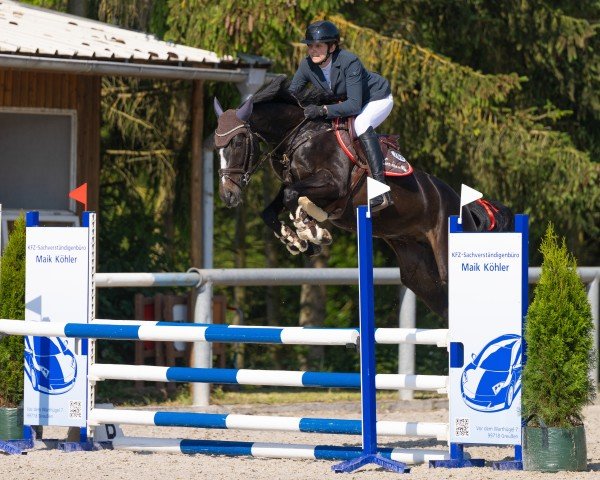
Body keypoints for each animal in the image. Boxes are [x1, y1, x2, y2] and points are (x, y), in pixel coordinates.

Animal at [213, 77, 508, 320]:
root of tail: (464, 205)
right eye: (216, 149)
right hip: (419, 273)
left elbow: (292, 196)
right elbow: (275, 207)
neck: (301, 135)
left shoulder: (334, 185)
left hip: (448, 255)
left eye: (237, 143)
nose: (228, 195)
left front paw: (311, 231)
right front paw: (298, 240)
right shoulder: (296, 183)